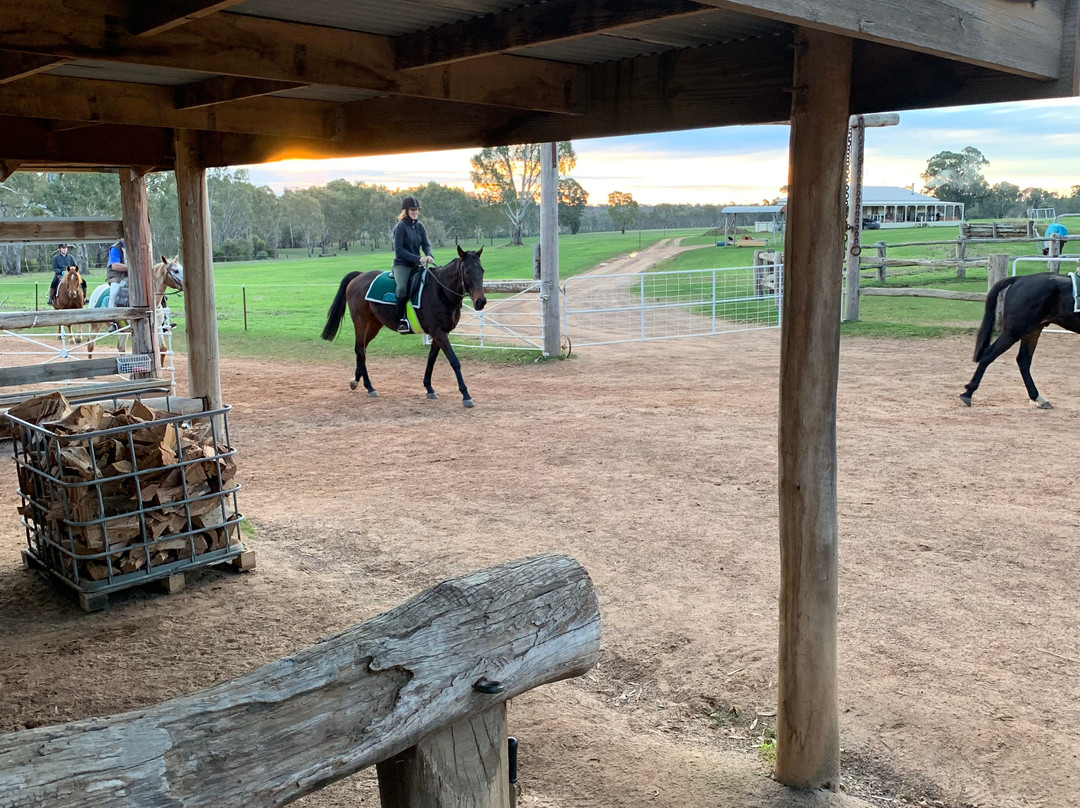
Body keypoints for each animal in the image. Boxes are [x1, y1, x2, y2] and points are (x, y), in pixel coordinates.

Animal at [321, 245, 487, 407]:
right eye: (467, 271)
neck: (440, 291)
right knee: (361, 351)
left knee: (360, 350)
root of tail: (359, 276)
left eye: (482, 270)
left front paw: (429, 388)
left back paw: (356, 380)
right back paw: (369, 386)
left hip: (374, 325)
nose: (481, 301)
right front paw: (466, 395)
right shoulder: (438, 332)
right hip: (361, 323)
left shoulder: (440, 333)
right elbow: (454, 361)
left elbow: (431, 359)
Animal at [960, 272, 1080, 409]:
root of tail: (1020, 278)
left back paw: (1038, 398)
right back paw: (968, 393)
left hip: (1032, 331)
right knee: (989, 354)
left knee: (1023, 360)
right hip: (1014, 331)